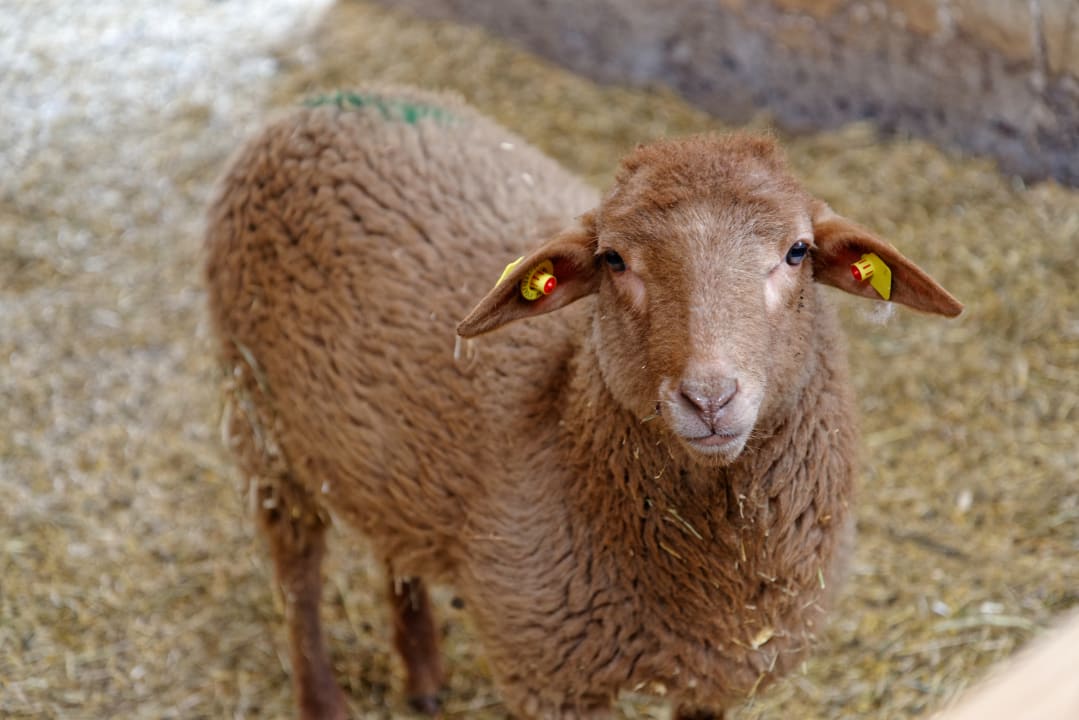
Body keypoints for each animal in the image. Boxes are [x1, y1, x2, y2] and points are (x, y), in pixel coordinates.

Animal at [204, 86, 963, 720]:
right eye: (613, 261)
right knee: (297, 578)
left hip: (378, 457)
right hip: (261, 421)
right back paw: (322, 698)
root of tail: (316, 106)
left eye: (798, 251)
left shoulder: (712, 675)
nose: (709, 398)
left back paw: (423, 676)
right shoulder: (549, 672)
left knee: (394, 547)